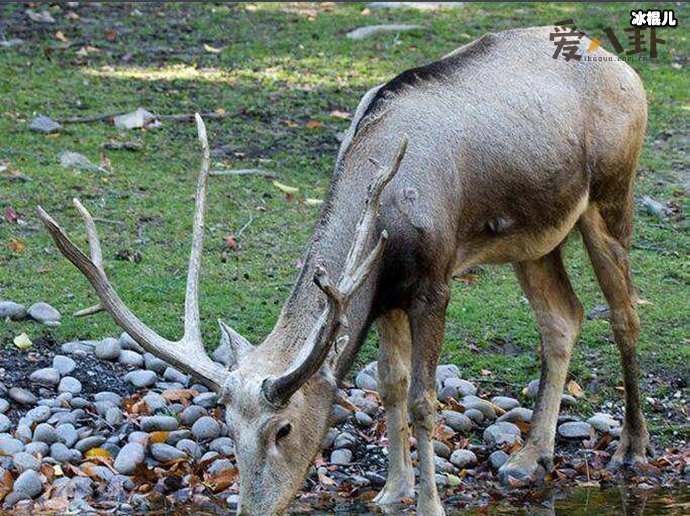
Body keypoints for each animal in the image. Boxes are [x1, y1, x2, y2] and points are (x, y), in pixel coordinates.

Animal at [39, 27, 652, 516]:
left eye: (283, 427)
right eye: (227, 426)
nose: (254, 508)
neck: (385, 211)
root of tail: (623, 66)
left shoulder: (434, 281)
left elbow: (425, 399)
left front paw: (429, 503)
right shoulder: (383, 291)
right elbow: (390, 384)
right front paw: (391, 492)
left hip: (611, 194)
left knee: (624, 313)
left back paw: (631, 448)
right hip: (535, 237)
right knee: (563, 317)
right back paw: (529, 457)